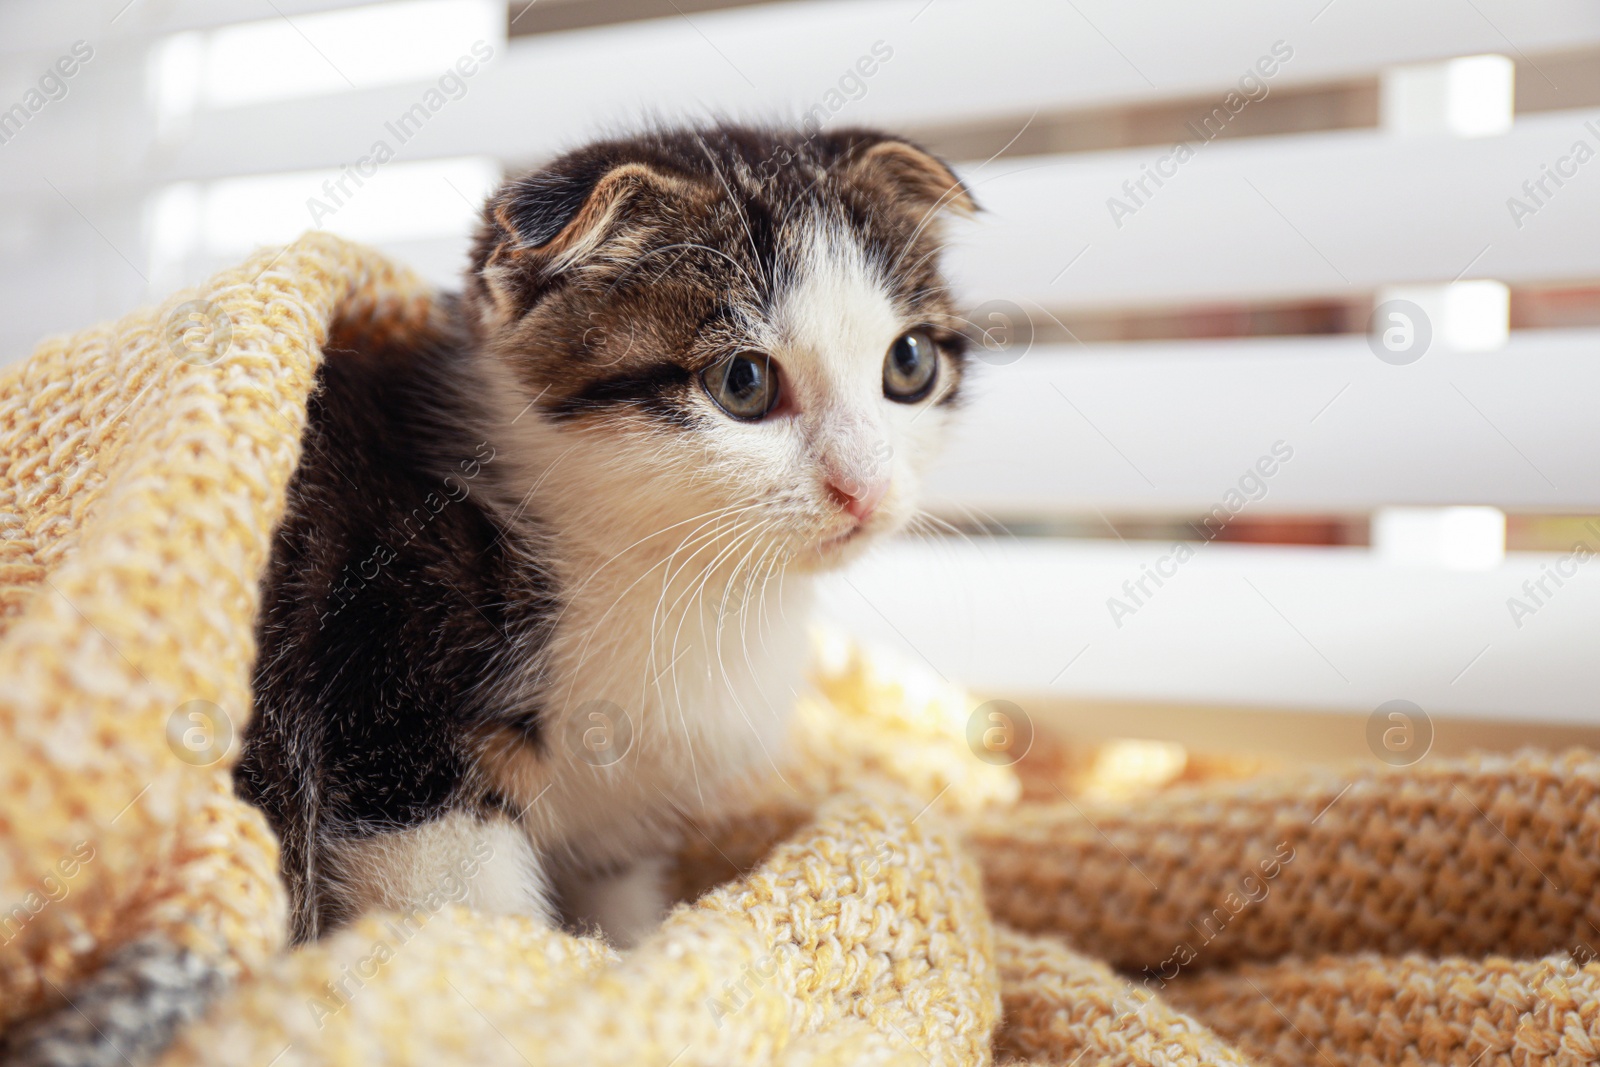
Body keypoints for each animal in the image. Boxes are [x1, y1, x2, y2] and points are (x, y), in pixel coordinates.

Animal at [235, 120, 972, 947]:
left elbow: (618, 908)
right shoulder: (390, 718)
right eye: (743, 382)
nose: (865, 487)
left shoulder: (621, 828)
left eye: (908, 362)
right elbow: (466, 911)